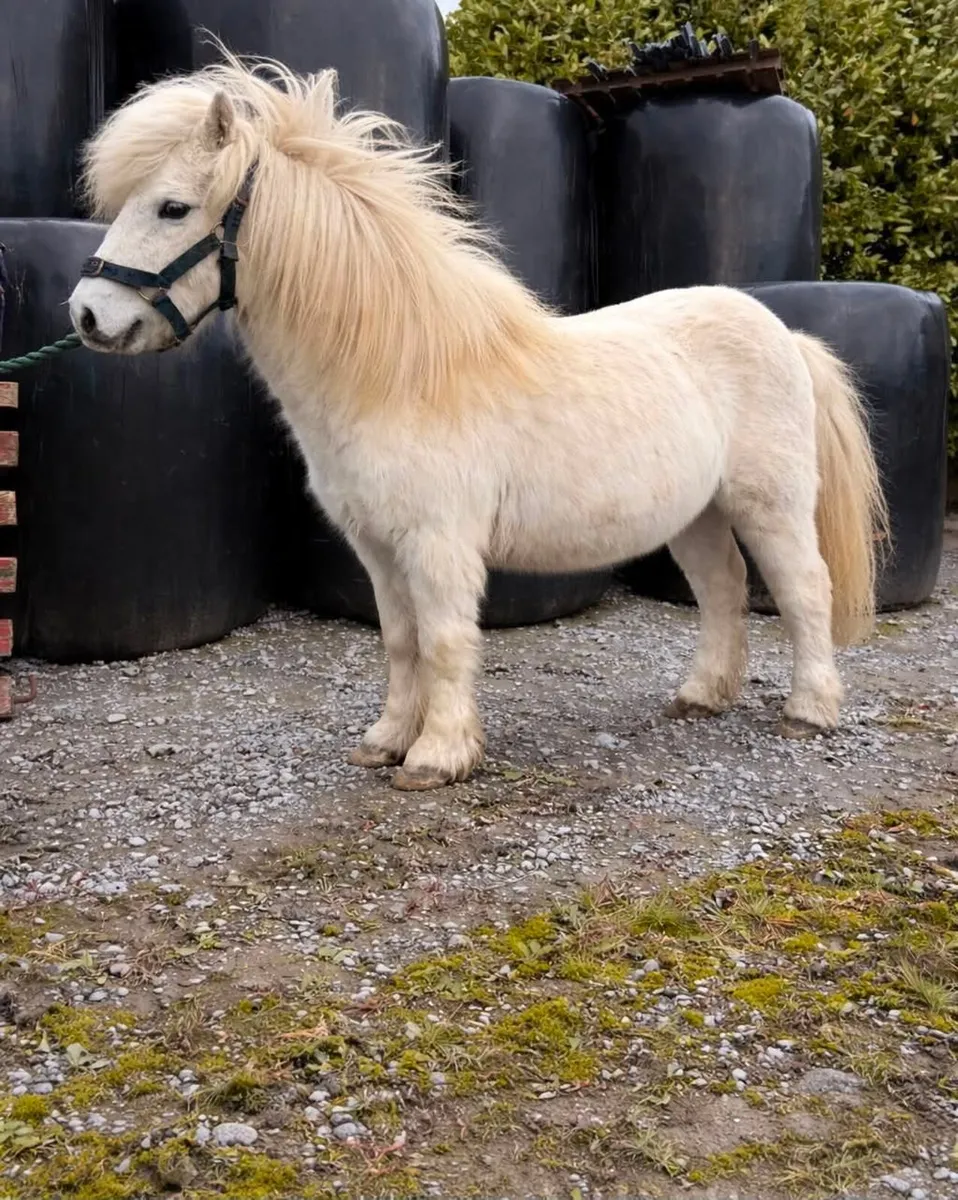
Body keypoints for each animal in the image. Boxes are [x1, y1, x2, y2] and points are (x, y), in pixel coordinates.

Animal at [67, 49, 889, 792]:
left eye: (173, 207)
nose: (87, 315)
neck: (397, 375)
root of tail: (783, 333)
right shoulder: (378, 546)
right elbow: (401, 640)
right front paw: (386, 741)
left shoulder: (438, 543)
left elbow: (444, 641)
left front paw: (438, 756)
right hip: (696, 513)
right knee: (722, 590)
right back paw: (701, 696)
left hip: (770, 504)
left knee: (803, 589)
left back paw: (811, 710)